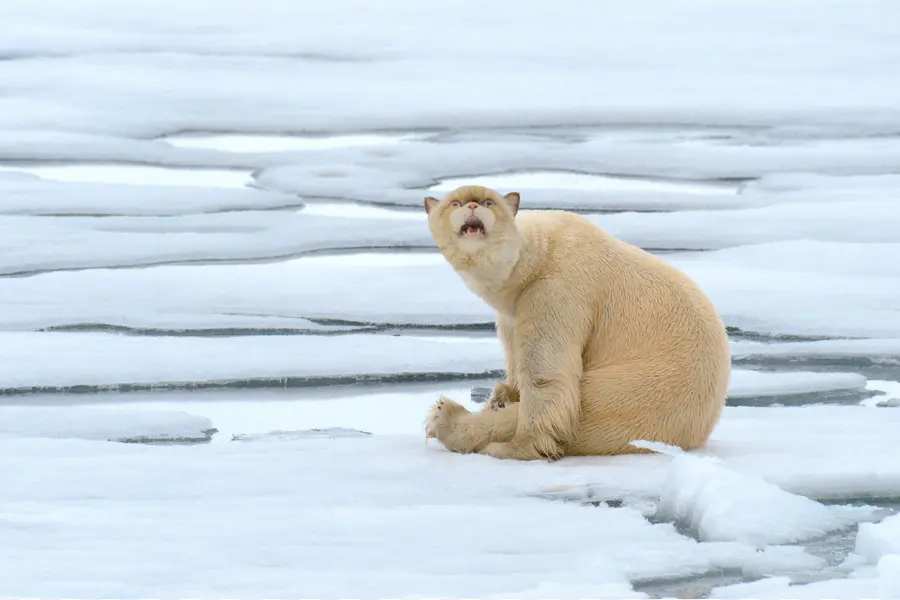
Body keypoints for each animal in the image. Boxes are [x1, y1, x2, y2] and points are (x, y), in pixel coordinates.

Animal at [424, 185, 732, 462]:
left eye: (489, 202)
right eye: (454, 202)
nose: (472, 205)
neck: (535, 260)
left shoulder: (557, 290)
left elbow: (547, 377)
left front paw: (518, 445)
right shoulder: (514, 310)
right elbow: (515, 353)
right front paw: (503, 393)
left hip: (641, 390)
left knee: (581, 405)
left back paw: (446, 417)